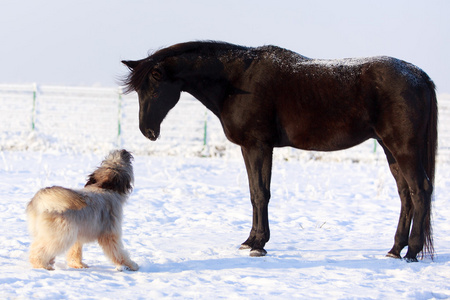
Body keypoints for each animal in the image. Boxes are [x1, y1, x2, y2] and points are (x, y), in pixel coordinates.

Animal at [122, 41, 436, 262]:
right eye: (138, 92)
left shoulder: (260, 146)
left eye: (153, 89)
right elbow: (253, 193)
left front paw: (259, 244)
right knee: (406, 195)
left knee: (420, 190)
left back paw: (412, 252)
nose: (147, 131)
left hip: (404, 148)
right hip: (390, 150)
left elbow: (262, 194)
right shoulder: (249, 148)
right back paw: (395, 249)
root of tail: (419, 75)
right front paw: (250, 240)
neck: (236, 80)